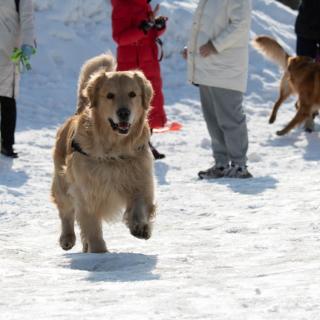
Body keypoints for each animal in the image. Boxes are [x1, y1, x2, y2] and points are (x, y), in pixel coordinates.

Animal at [51, 53, 156, 252]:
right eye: (110, 95)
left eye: (132, 94)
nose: (123, 112)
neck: (115, 148)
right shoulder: (87, 191)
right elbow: (91, 226)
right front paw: (99, 251)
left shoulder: (139, 177)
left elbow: (140, 204)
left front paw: (140, 227)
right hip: (62, 183)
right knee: (66, 212)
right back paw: (67, 238)